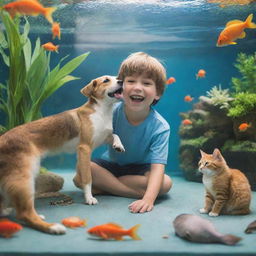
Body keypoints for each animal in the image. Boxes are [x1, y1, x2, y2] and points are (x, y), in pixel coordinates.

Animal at [0, 75, 124, 234]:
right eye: (106, 80)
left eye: (116, 78)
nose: (121, 81)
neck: (102, 111)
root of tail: (3, 138)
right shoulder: (85, 149)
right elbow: (87, 178)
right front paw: (89, 198)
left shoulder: (101, 139)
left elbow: (114, 135)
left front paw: (118, 145)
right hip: (24, 176)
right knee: (24, 213)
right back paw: (53, 227)